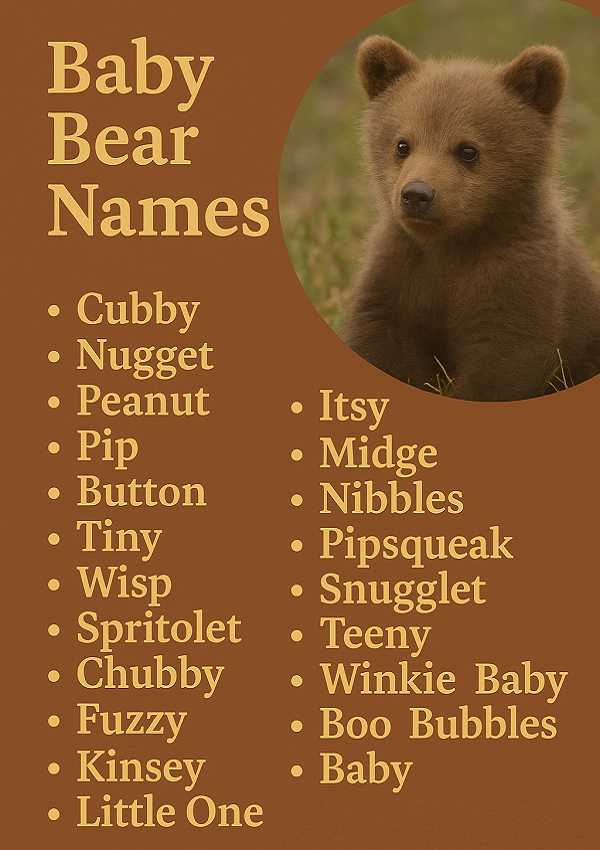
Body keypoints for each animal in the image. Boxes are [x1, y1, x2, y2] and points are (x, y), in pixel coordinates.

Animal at [342, 36, 600, 401]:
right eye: (402, 144)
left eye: (467, 150)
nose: (417, 194)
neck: (451, 243)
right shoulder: (397, 270)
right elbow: (380, 339)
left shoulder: (518, 277)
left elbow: (503, 359)